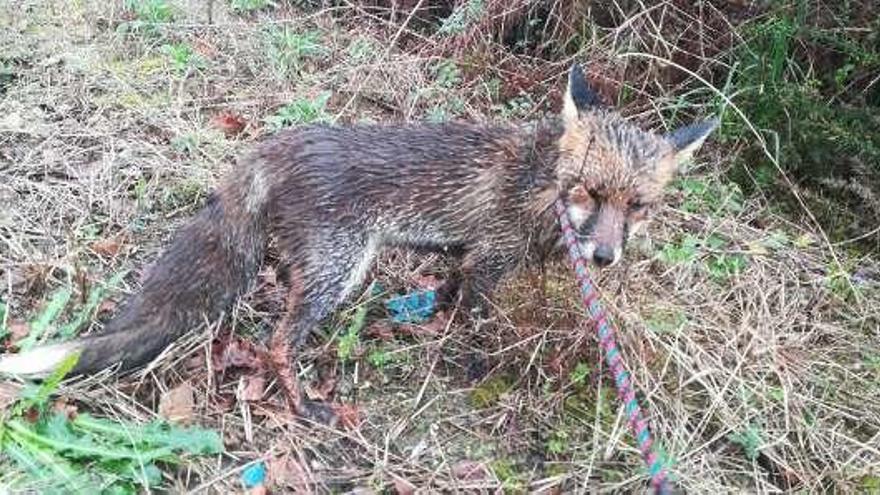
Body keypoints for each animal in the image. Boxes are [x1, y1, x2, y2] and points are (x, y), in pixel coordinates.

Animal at [0, 64, 716, 398]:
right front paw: (477, 365)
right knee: (277, 341)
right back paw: (303, 406)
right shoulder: (490, 258)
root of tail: (277, 146)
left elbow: (451, 296)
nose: (603, 257)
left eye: (640, 205)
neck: (539, 188)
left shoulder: (465, 256)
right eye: (588, 193)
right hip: (339, 270)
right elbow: (478, 324)